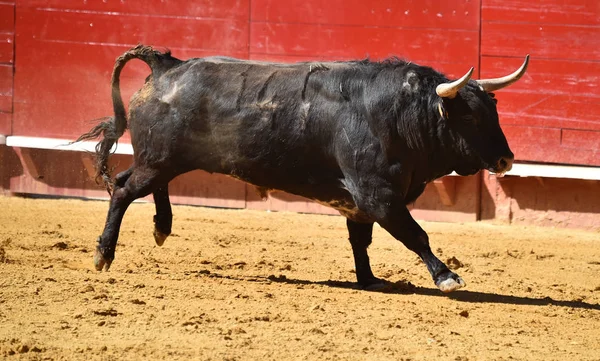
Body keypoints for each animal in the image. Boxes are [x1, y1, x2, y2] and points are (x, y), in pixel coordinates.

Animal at [76, 45, 528, 292]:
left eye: (493, 110)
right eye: (470, 117)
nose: (506, 160)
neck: (398, 114)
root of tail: (167, 66)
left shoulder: (361, 204)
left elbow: (360, 242)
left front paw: (369, 280)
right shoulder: (378, 195)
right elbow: (416, 235)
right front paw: (446, 276)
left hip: (162, 159)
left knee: (132, 183)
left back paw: (161, 226)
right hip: (158, 159)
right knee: (123, 191)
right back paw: (103, 255)